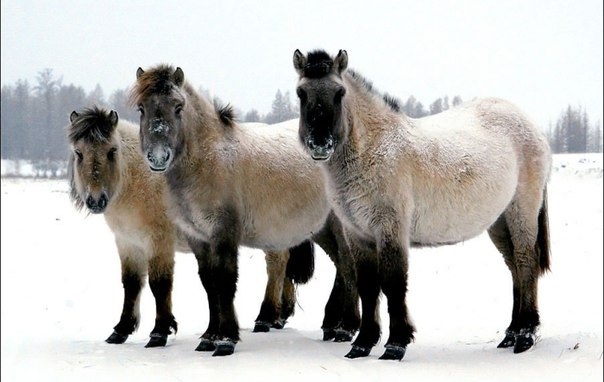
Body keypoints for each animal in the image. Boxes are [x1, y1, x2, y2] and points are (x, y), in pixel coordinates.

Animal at [66, 106, 318, 348]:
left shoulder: (159, 241)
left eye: (112, 151)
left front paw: (160, 332)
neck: (141, 179)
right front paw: (121, 330)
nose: (96, 200)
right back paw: (278, 317)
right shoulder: (127, 242)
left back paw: (265, 318)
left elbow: (160, 283)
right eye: (79, 153)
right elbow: (131, 284)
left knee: (276, 265)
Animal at [130, 65, 360, 356]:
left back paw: (346, 328)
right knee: (341, 266)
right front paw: (209, 336)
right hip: (320, 228)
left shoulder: (224, 232)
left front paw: (226, 339)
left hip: (340, 227)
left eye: (178, 107)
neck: (209, 160)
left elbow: (226, 281)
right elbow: (209, 283)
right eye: (141, 108)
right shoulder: (198, 237)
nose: (158, 157)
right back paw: (332, 325)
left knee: (349, 266)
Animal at [292, 48, 552, 362]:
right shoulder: (358, 234)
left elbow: (393, 284)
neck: (373, 149)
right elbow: (368, 286)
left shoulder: (390, 229)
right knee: (514, 266)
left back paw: (525, 335)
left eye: (339, 92)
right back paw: (511, 333)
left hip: (521, 211)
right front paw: (362, 343)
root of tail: (531, 126)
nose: (320, 144)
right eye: (301, 93)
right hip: (499, 222)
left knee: (526, 263)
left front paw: (396, 344)